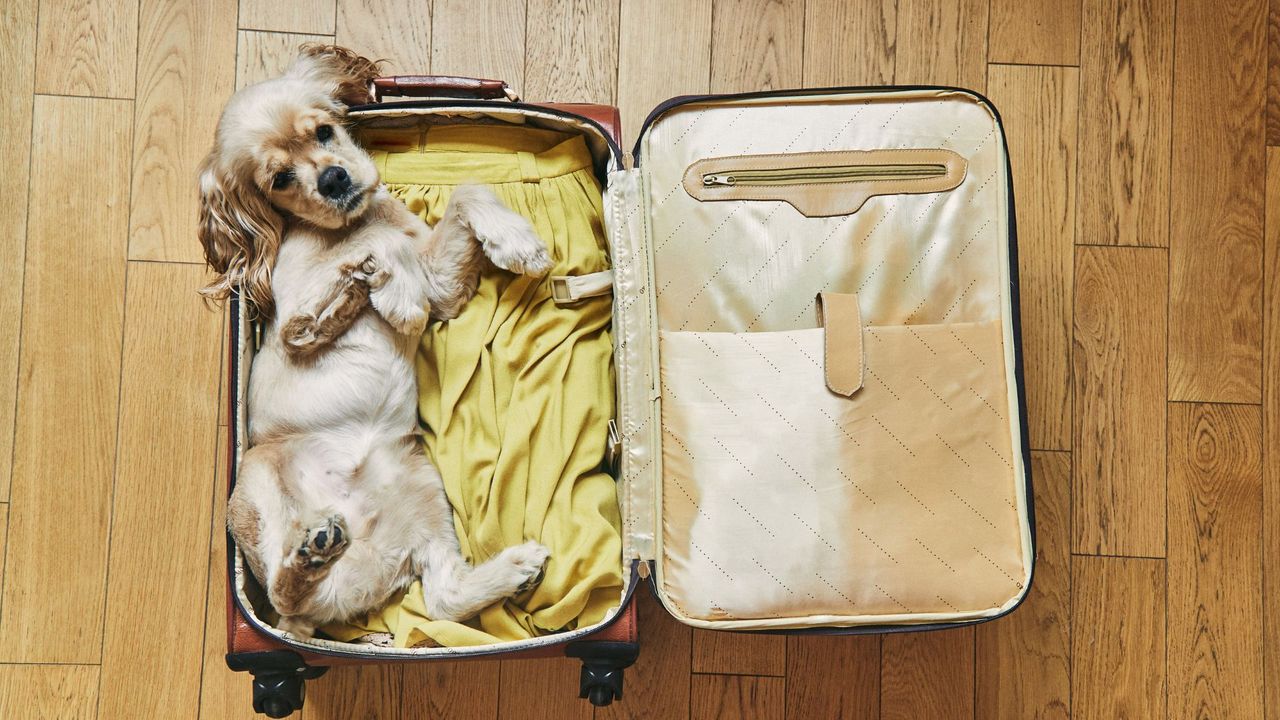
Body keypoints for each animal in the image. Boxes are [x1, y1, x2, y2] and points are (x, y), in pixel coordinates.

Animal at [197, 46, 552, 638]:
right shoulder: (293, 319)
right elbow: (379, 255)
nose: (335, 179)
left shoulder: (443, 287)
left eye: (324, 131)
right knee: (281, 590)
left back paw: (514, 567)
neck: (348, 227)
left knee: (445, 599)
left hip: (423, 491)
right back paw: (311, 551)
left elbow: (466, 192)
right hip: (258, 485)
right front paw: (395, 294)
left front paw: (516, 242)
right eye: (280, 179)